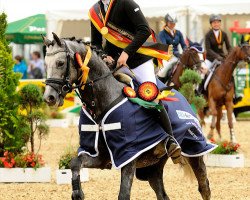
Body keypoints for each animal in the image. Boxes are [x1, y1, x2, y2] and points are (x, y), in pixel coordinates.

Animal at [42, 33, 211, 200]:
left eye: (60, 63)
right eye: (45, 64)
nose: (49, 98)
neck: (102, 101)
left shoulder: (129, 154)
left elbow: (123, 194)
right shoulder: (100, 156)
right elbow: (75, 162)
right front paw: (78, 193)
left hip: (194, 149)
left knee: (204, 187)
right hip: (153, 166)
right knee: (162, 194)